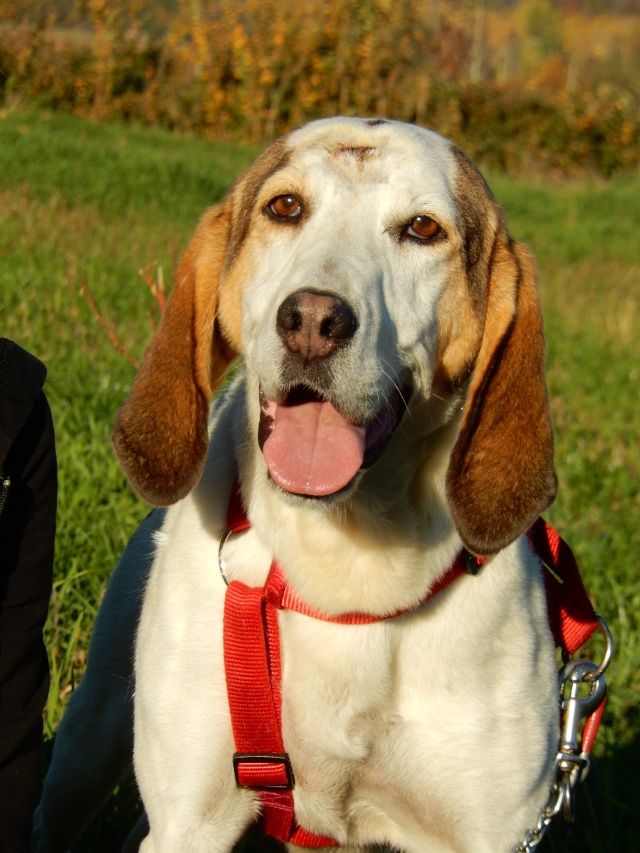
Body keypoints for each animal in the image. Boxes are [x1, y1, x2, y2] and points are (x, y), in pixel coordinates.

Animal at [32, 120, 560, 852]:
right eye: (285, 207)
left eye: (422, 228)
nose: (312, 320)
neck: (346, 568)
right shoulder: (187, 821)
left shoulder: (490, 831)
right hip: (92, 734)